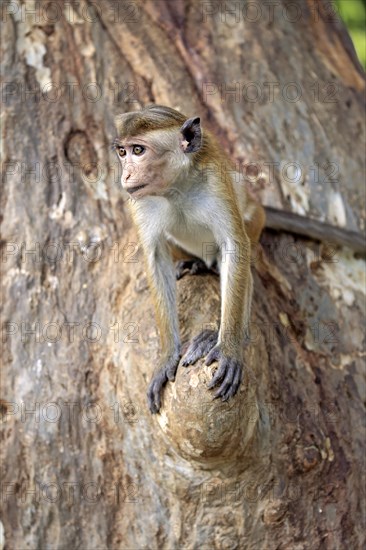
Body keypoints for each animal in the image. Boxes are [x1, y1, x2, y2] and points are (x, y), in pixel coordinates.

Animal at [113, 104, 364, 414]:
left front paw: (228, 348)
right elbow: (156, 257)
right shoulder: (141, 202)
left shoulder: (215, 183)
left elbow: (234, 247)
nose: (125, 176)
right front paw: (167, 356)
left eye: (138, 150)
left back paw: (218, 334)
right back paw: (195, 264)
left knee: (239, 264)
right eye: (122, 152)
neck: (175, 189)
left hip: (255, 221)